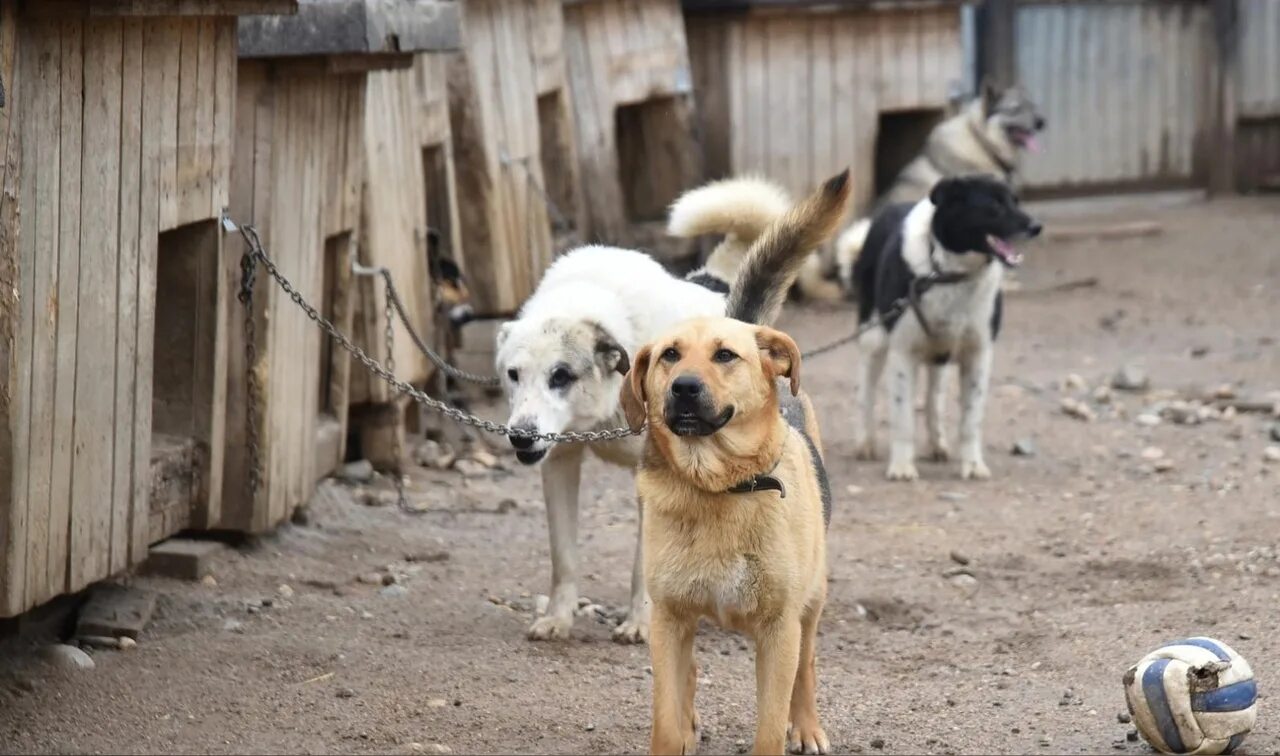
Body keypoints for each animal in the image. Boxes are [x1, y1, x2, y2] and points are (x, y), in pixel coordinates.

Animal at [496, 172, 849, 644]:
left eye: (561, 375)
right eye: (513, 374)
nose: (520, 436)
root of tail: (714, 284)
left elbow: (641, 566)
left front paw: (639, 622)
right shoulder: (560, 460)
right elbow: (563, 556)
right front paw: (557, 618)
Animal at [624, 315, 834, 752]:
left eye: (724, 355)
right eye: (670, 354)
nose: (684, 387)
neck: (717, 486)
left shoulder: (779, 630)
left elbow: (770, 727)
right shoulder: (667, 619)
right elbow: (665, 721)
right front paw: (677, 733)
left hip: (812, 599)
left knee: (806, 665)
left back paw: (807, 727)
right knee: (689, 671)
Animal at [849, 176, 1039, 478]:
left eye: (1015, 201)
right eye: (995, 205)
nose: (1036, 226)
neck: (949, 273)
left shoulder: (978, 354)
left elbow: (970, 420)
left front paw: (972, 465)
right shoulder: (902, 352)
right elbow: (903, 418)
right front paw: (902, 467)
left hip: (940, 351)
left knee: (933, 399)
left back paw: (938, 444)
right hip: (873, 337)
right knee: (865, 391)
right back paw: (864, 443)